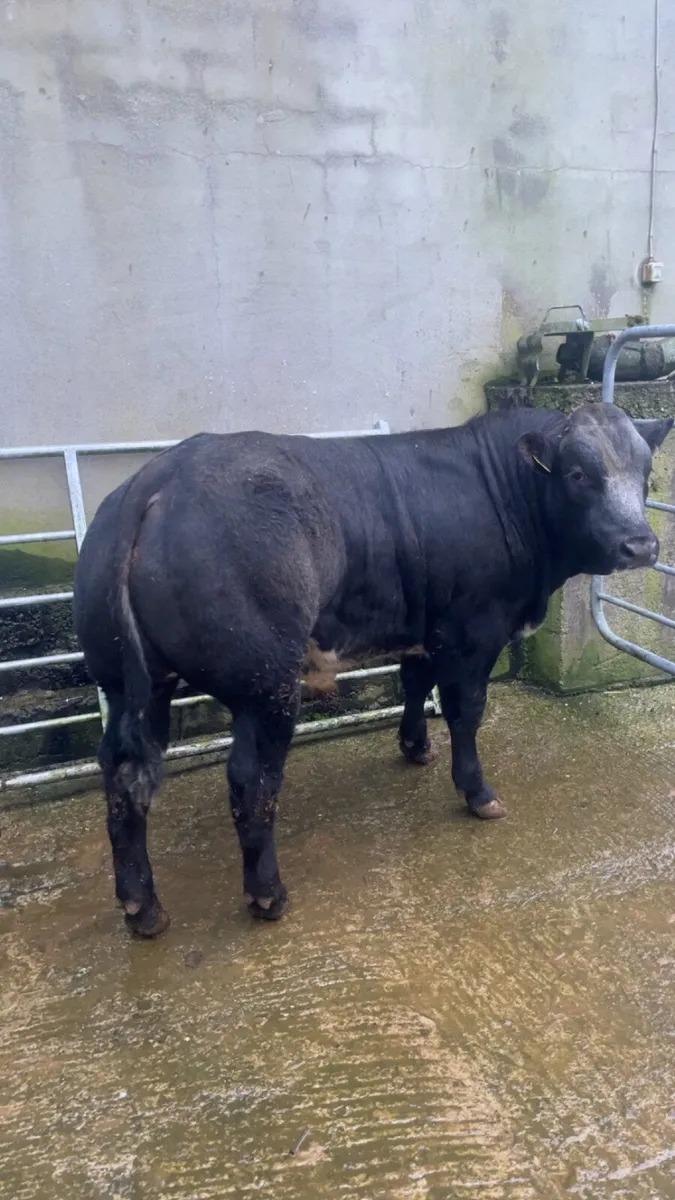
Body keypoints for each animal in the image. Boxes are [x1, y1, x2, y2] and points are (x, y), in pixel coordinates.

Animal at [73, 403, 672, 938]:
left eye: (645, 472)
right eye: (578, 474)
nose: (641, 544)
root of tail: (155, 481)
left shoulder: (425, 627)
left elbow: (415, 683)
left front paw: (414, 746)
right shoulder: (472, 631)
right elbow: (465, 711)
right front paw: (477, 792)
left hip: (129, 685)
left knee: (121, 775)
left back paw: (142, 907)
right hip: (265, 686)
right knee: (250, 779)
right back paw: (268, 894)